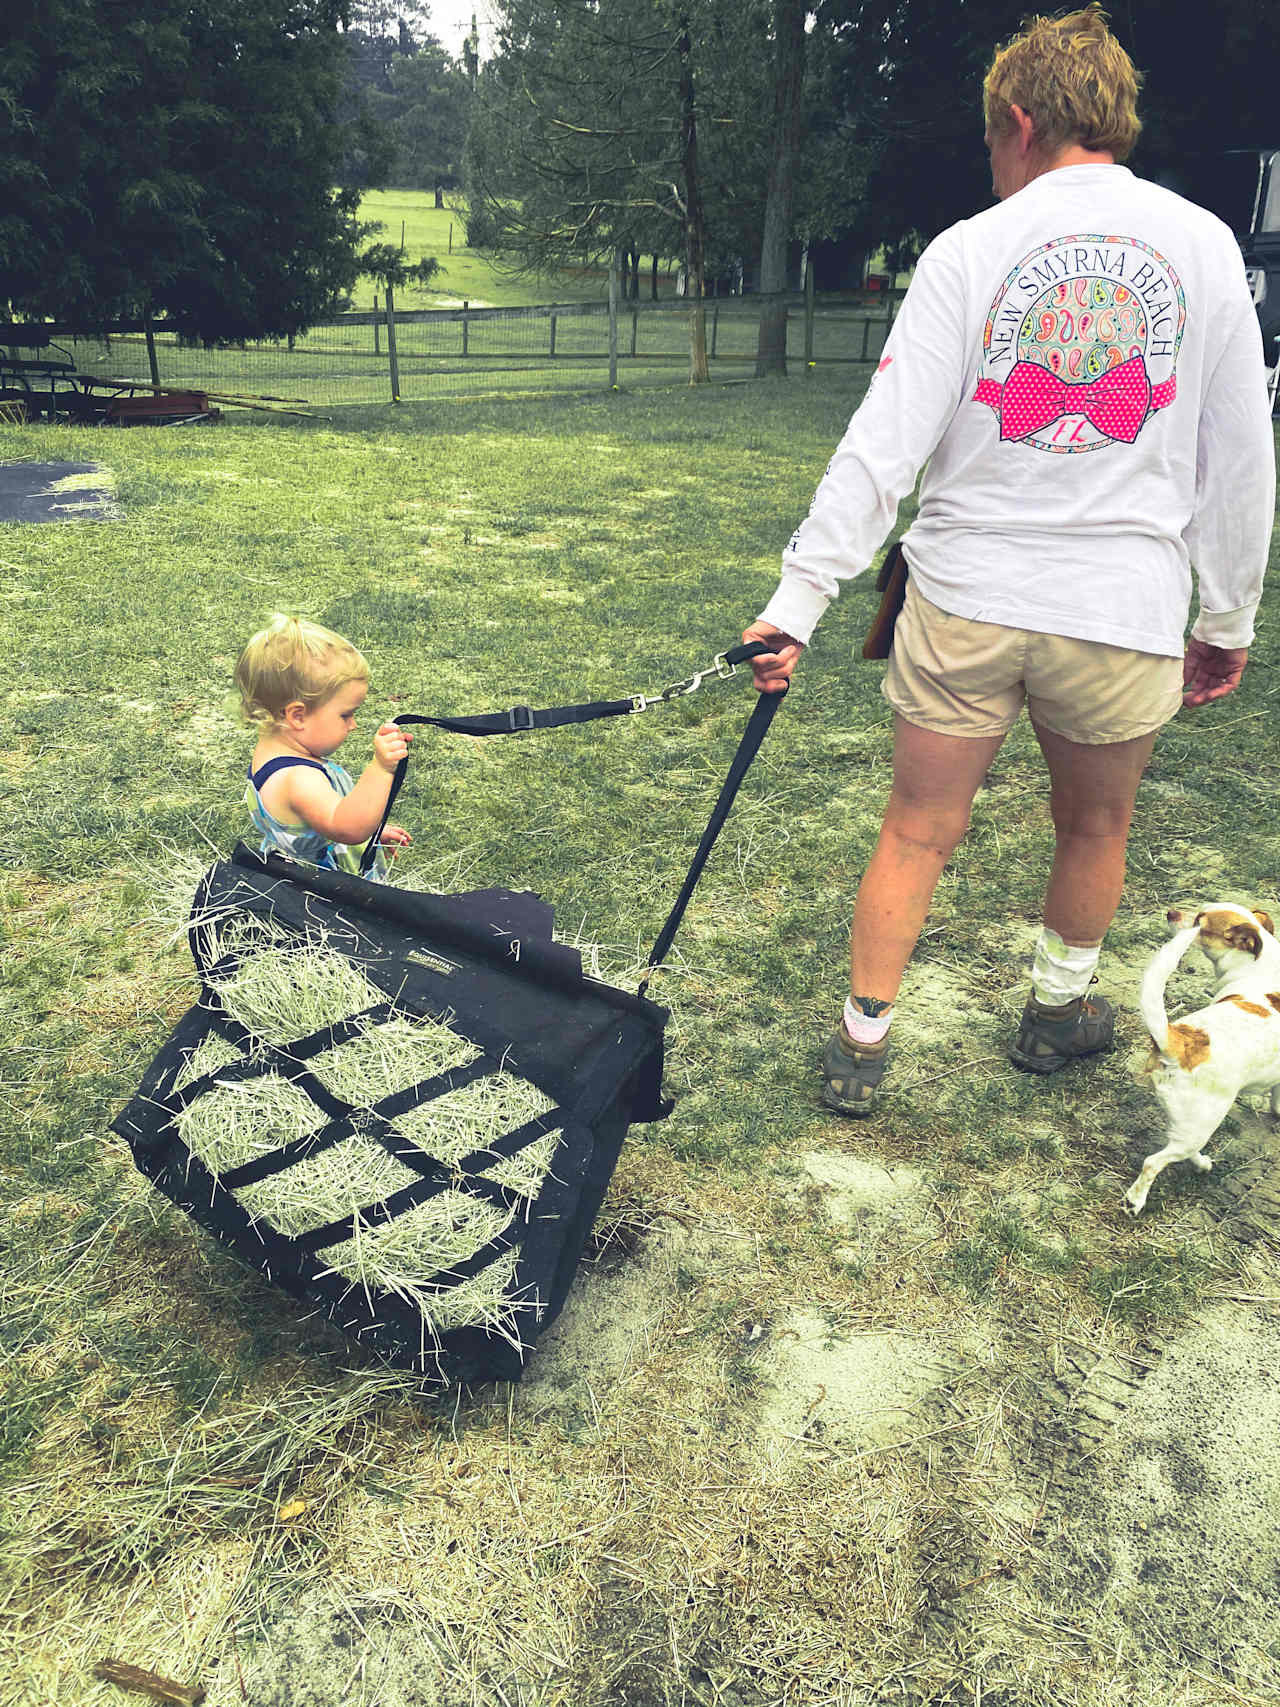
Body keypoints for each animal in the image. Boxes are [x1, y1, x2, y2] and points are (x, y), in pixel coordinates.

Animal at [1133, 908, 1280, 1215]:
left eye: (1201, 919)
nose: (1171, 912)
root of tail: (1179, 1039)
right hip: (1202, 1123)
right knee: (1153, 1163)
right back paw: (1134, 1201)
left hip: (1192, 1123)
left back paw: (1201, 1163)